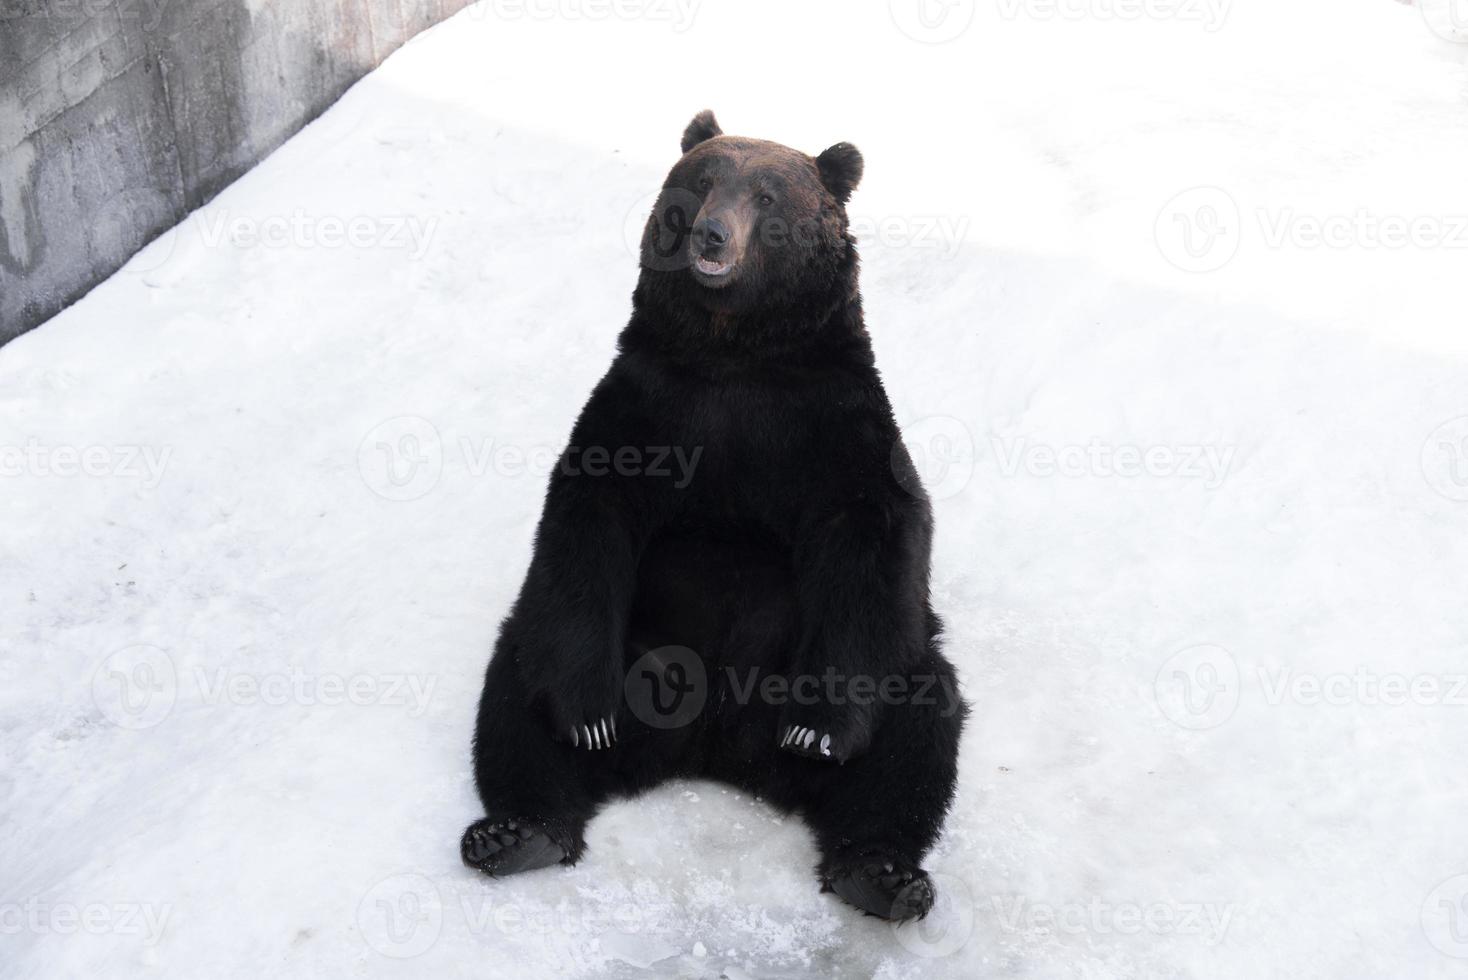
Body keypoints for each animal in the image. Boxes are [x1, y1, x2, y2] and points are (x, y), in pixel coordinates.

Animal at [458, 112, 963, 921]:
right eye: (700, 181)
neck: (735, 353)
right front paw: (587, 718)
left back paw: (882, 873)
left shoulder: (833, 423)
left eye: (767, 195)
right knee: (516, 694)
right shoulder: (647, 409)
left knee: (918, 726)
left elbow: (878, 532)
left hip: (869, 663)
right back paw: (516, 831)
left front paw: (817, 733)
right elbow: (584, 523)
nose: (712, 236)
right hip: (633, 650)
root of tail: (714, 745)